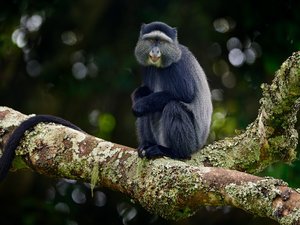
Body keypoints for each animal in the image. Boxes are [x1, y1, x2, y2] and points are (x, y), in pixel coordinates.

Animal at [132, 20, 213, 158]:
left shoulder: (178, 65)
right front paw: (138, 95)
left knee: (173, 107)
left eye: (161, 42)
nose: (155, 51)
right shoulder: (148, 68)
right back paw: (147, 144)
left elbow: (185, 94)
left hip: (192, 144)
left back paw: (173, 152)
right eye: (152, 40)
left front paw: (139, 105)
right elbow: (145, 91)